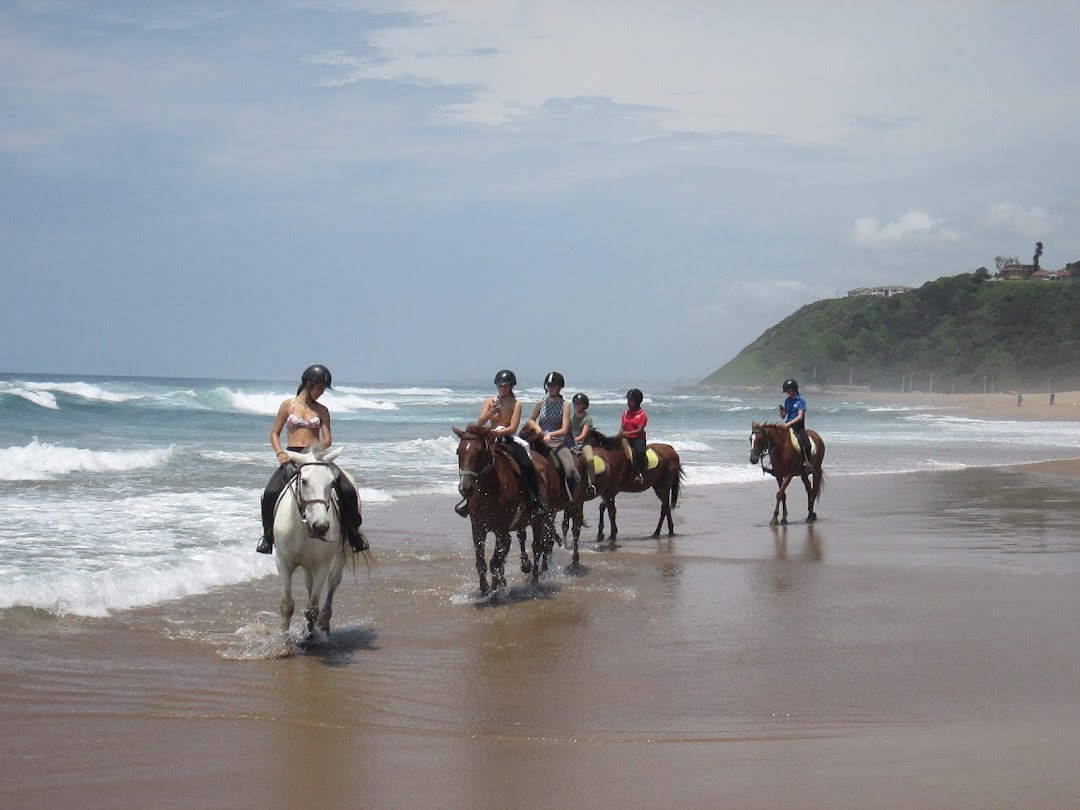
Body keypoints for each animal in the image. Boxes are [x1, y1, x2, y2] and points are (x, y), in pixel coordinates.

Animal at [270, 447, 362, 652]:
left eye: (331, 483)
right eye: (304, 481)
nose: (320, 527)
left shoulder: (322, 565)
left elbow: (312, 609)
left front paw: (310, 637)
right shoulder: (283, 563)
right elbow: (287, 605)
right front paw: (286, 645)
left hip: (343, 552)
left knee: (332, 584)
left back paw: (324, 625)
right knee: (309, 585)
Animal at [451, 425, 561, 596]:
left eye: (479, 452)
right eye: (458, 452)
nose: (465, 488)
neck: (490, 489)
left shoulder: (502, 531)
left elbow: (495, 561)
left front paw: (495, 587)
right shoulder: (478, 529)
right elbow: (482, 561)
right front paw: (486, 588)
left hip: (541, 519)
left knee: (538, 546)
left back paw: (534, 579)